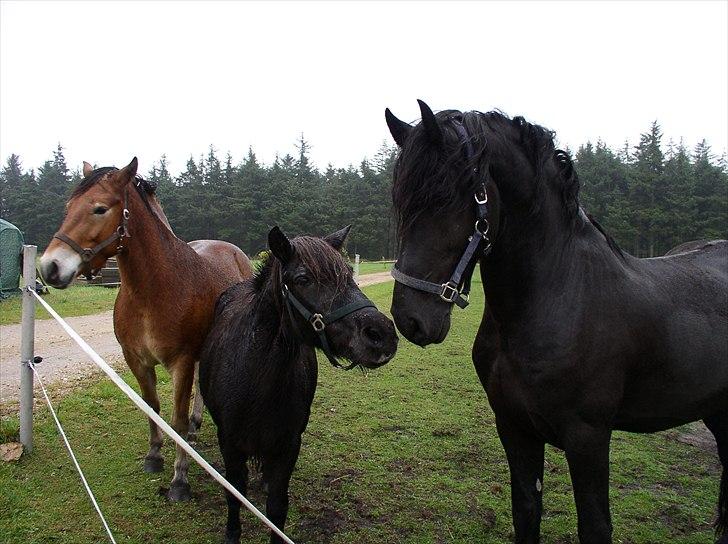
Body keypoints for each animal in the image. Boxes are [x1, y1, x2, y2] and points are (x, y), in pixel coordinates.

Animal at [42, 158, 256, 502]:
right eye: (69, 207)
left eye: (100, 209)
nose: (50, 267)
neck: (152, 293)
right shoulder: (136, 360)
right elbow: (152, 407)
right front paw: (154, 455)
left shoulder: (181, 362)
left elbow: (177, 419)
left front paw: (180, 479)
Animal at [199, 225, 398, 544]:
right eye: (303, 279)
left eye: (348, 273)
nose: (382, 335)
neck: (255, 379)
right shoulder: (229, 442)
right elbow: (234, 493)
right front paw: (232, 534)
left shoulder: (289, 444)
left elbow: (277, 507)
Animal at [384, 101, 724, 544]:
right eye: (402, 201)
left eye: (444, 196)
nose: (409, 319)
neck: (558, 297)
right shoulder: (514, 426)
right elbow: (526, 509)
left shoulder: (588, 437)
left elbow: (595, 526)